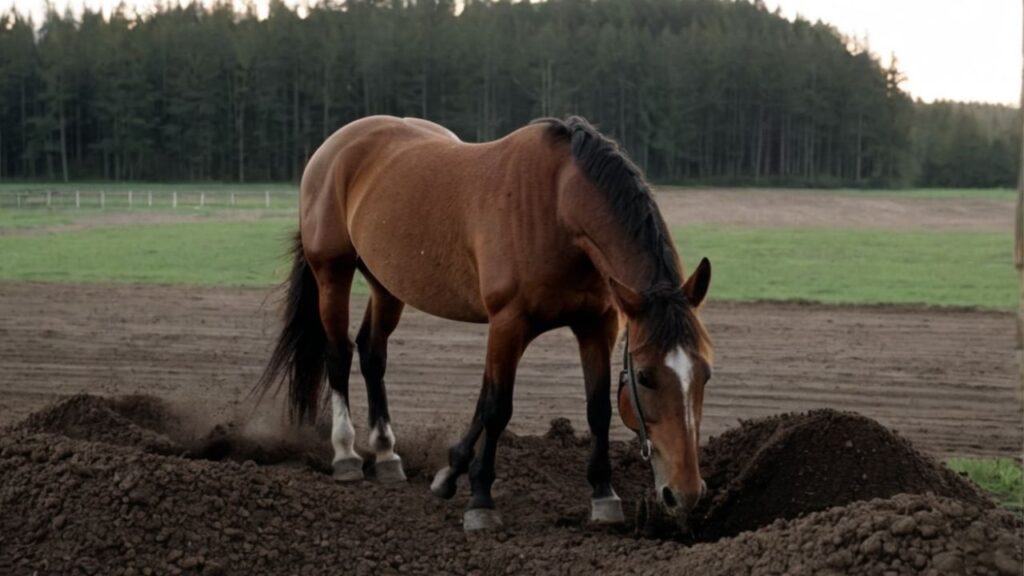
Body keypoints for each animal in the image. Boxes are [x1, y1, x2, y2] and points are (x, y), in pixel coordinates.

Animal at [258, 113, 712, 528]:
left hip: (387, 283)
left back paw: (386, 453)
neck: (559, 206)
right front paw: (479, 499)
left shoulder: (597, 324)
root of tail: (336, 144)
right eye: (646, 377)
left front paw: (603, 494)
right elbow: (497, 407)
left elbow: (596, 408)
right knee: (339, 354)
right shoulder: (509, 322)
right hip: (332, 271)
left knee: (372, 354)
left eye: (705, 374)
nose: (686, 493)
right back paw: (347, 454)